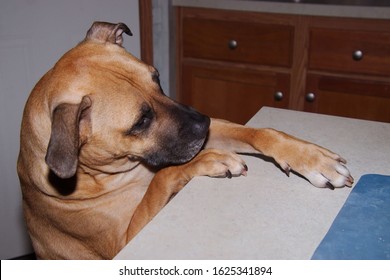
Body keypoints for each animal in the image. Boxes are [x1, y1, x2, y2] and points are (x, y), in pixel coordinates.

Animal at [17, 21, 354, 260]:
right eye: (141, 121)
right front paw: (209, 159)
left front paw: (310, 157)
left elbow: (262, 133)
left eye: (156, 78)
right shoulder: (126, 239)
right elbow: (162, 177)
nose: (204, 124)